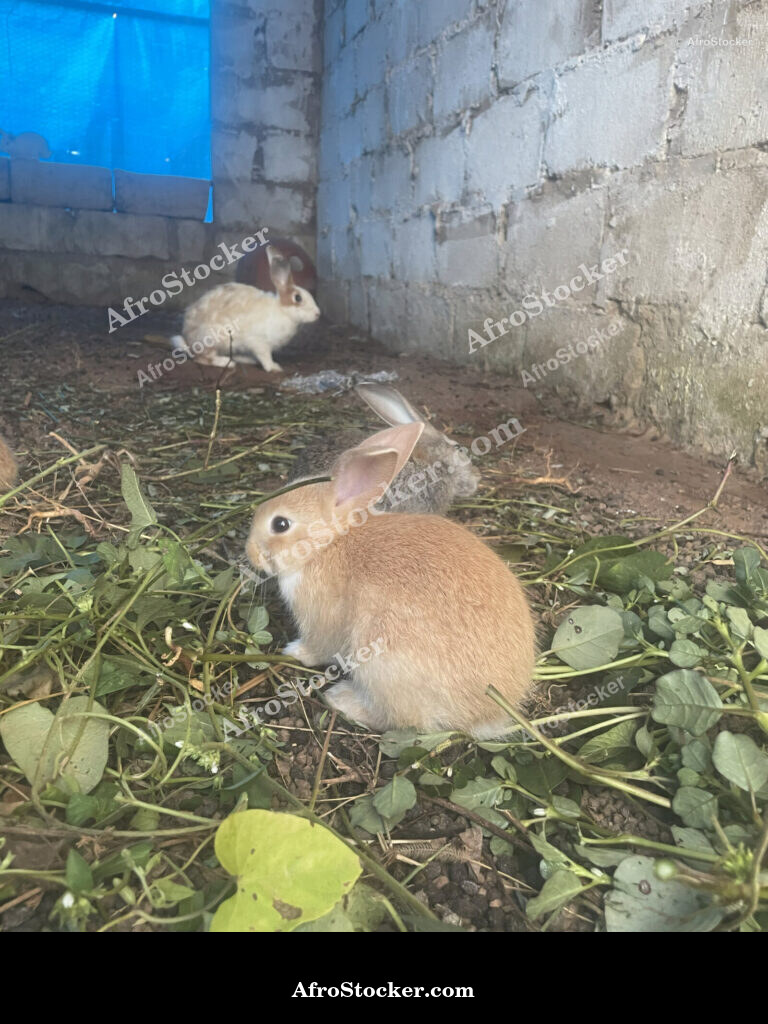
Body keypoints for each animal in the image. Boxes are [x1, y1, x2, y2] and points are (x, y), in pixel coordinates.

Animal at [170, 246, 319, 373]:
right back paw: (227, 363)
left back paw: (246, 359)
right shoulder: (260, 343)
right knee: (202, 358)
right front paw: (274, 367)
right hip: (211, 339)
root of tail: (189, 342)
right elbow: (265, 357)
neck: (281, 309)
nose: (318, 314)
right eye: (298, 298)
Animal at [246, 423, 536, 739]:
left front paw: (294, 652)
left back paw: (341, 700)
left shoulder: (321, 622)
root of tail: (487, 716)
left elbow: (318, 648)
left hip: (381, 664)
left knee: (401, 720)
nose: (251, 553)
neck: (328, 544)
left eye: (280, 524)